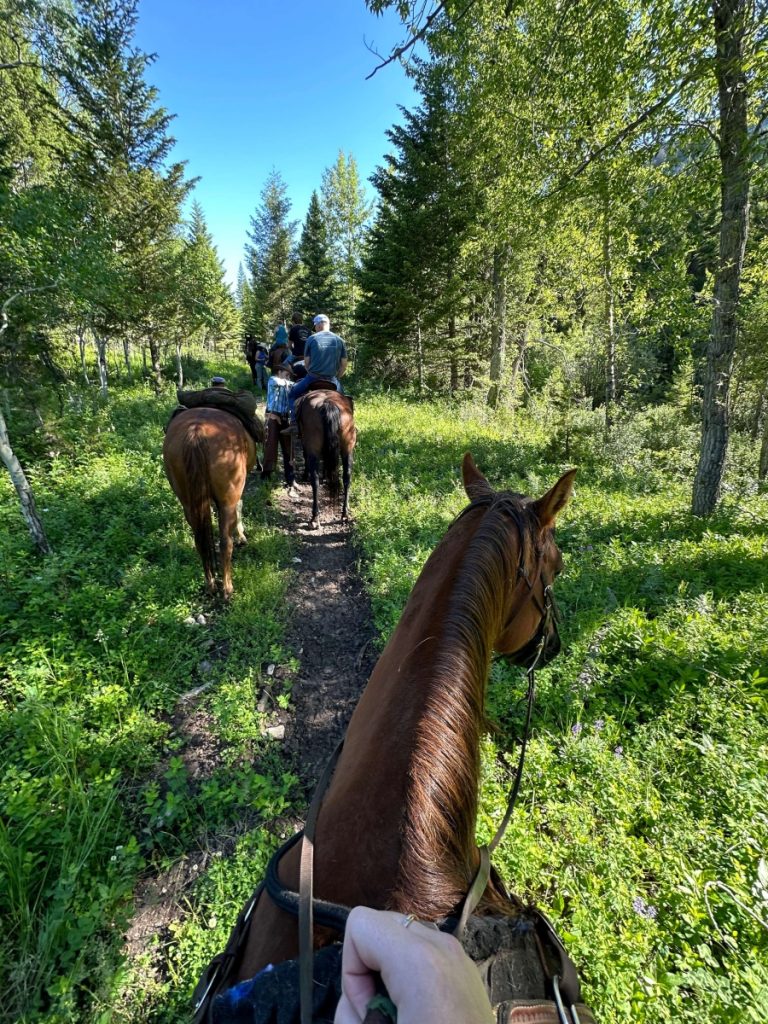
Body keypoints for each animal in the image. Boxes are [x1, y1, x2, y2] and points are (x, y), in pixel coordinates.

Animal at [163, 408, 262, 600]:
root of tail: (196, 433)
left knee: (200, 541)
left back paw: (210, 585)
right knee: (225, 542)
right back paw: (227, 588)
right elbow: (239, 507)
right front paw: (241, 536)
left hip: (188, 503)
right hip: (227, 500)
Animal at [296, 388, 356, 529]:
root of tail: (328, 403)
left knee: (315, 480)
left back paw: (314, 518)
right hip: (348, 449)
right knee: (347, 477)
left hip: (313, 449)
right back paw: (344, 514)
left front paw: (305, 475)